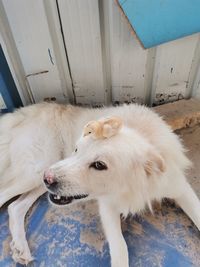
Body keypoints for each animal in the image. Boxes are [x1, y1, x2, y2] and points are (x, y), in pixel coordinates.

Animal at [0, 102, 200, 267]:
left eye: (99, 165)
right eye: (76, 149)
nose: (48, 178)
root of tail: (25, 111)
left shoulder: (178, 187)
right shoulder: (108, 206)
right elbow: (120, 247)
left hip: (40, 177)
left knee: (15, 207)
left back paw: (20, 248)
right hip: (35, 172)